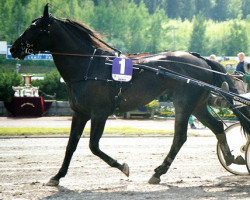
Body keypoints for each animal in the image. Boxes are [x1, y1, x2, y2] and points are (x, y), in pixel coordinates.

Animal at [9, 5, 250, 186]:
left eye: (34, 27)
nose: (13, 48)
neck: (89, 65)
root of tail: (200, 60)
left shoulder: (99, 113)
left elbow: (93, 146)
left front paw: (122, 167)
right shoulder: (79, 113)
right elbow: (71, 146)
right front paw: (57, 176)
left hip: (183, 103)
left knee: (180, 137)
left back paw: (159, 171)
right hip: (197, 104)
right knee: (217, 126)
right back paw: (231, 157)